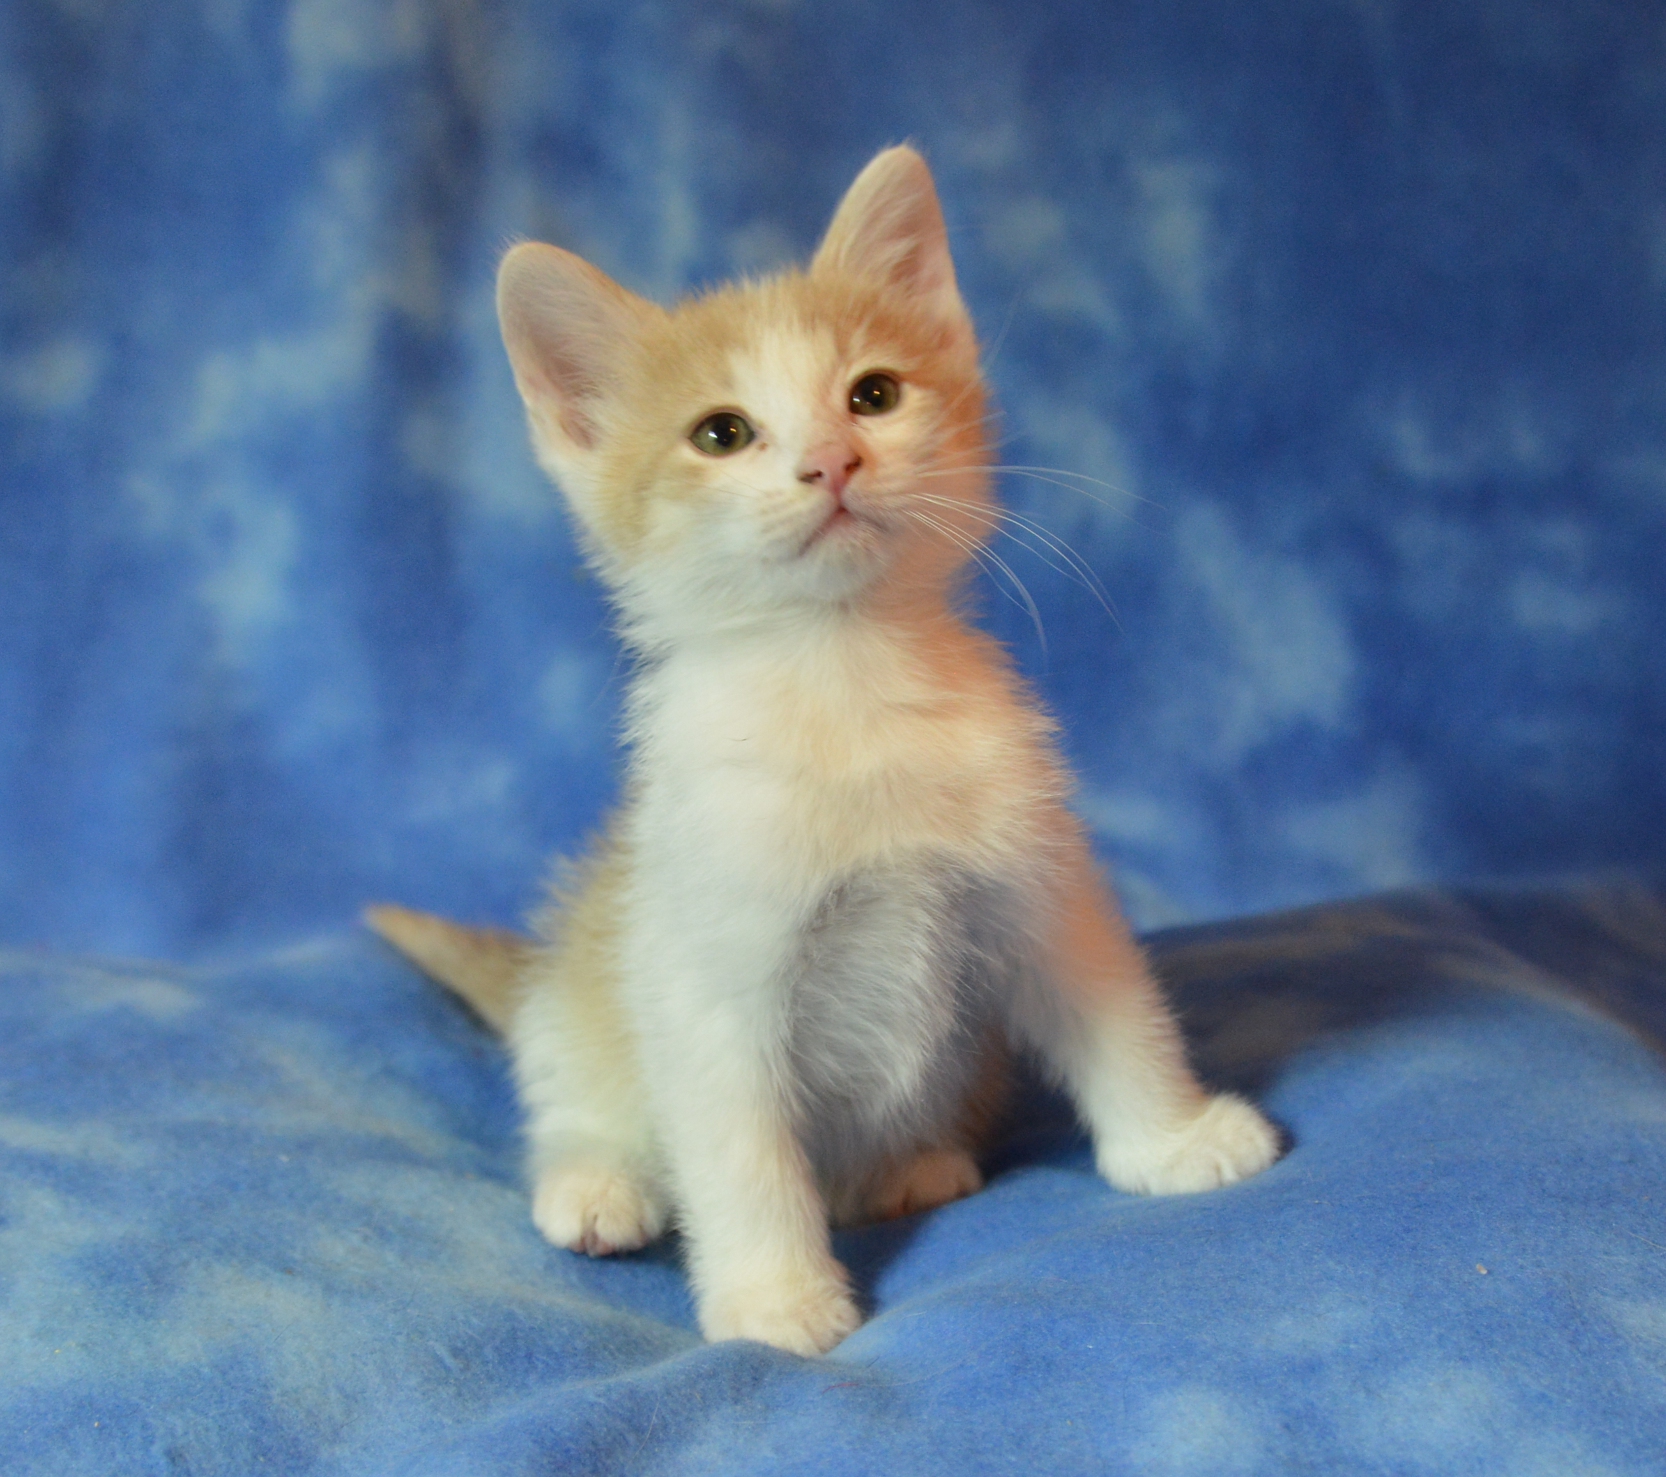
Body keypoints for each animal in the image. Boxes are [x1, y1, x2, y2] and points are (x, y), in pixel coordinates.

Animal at [371, 144, 1279, 1358]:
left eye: (873, 395)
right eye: (721, 432)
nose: (832, 462)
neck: (845, 684)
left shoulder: (1042, 881)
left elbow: (1116, 1011)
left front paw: (1175, 1142)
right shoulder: (709, 967)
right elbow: (741, 1147)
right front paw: (772, 1299)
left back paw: (907, 1164)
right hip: (582, 989)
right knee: (575, 1100)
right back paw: (598, 1183)